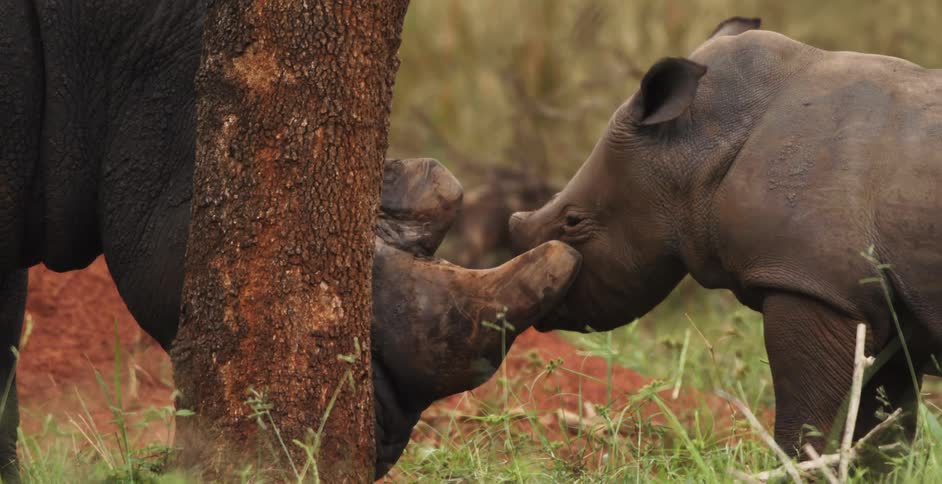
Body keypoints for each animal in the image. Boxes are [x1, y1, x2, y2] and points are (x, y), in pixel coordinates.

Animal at [509, 17, 942, 456]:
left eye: (573, 222)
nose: (540, 311)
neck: (699, 145)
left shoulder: (816, 286)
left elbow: (808, 425)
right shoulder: (878, 310)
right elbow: (880, 431)